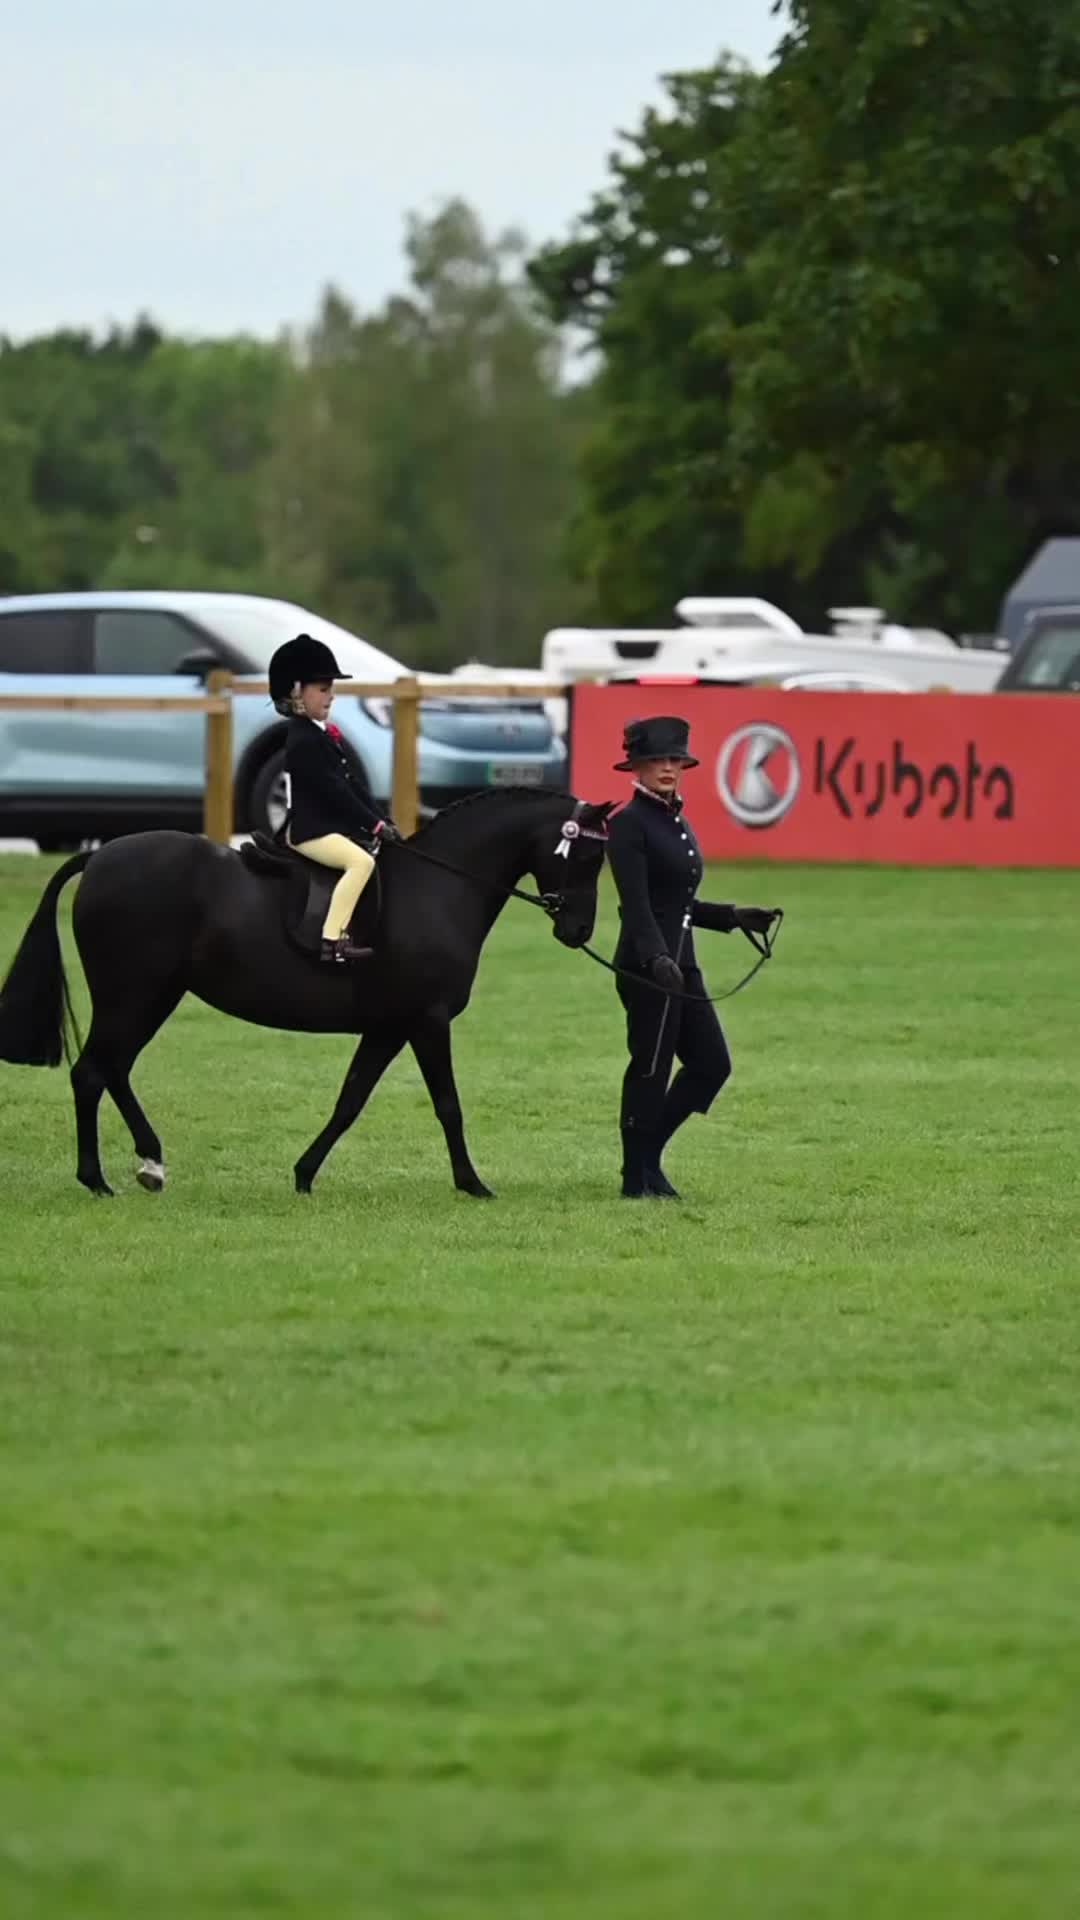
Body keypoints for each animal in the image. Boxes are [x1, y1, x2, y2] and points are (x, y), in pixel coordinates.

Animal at [0, 788, 613, 1199]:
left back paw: (150, 1164)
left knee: (114, 1070)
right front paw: (472, 1183)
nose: (578, 930)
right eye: (585, 857)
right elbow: (447, 1104)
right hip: (132, 995)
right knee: (92, 1073)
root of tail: (100, 856)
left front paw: (303, 1174)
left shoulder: (389, 1027)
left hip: (153, 996)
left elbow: (350, 1101)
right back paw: (98, 1180)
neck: (439, 887)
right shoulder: (427, 1020)